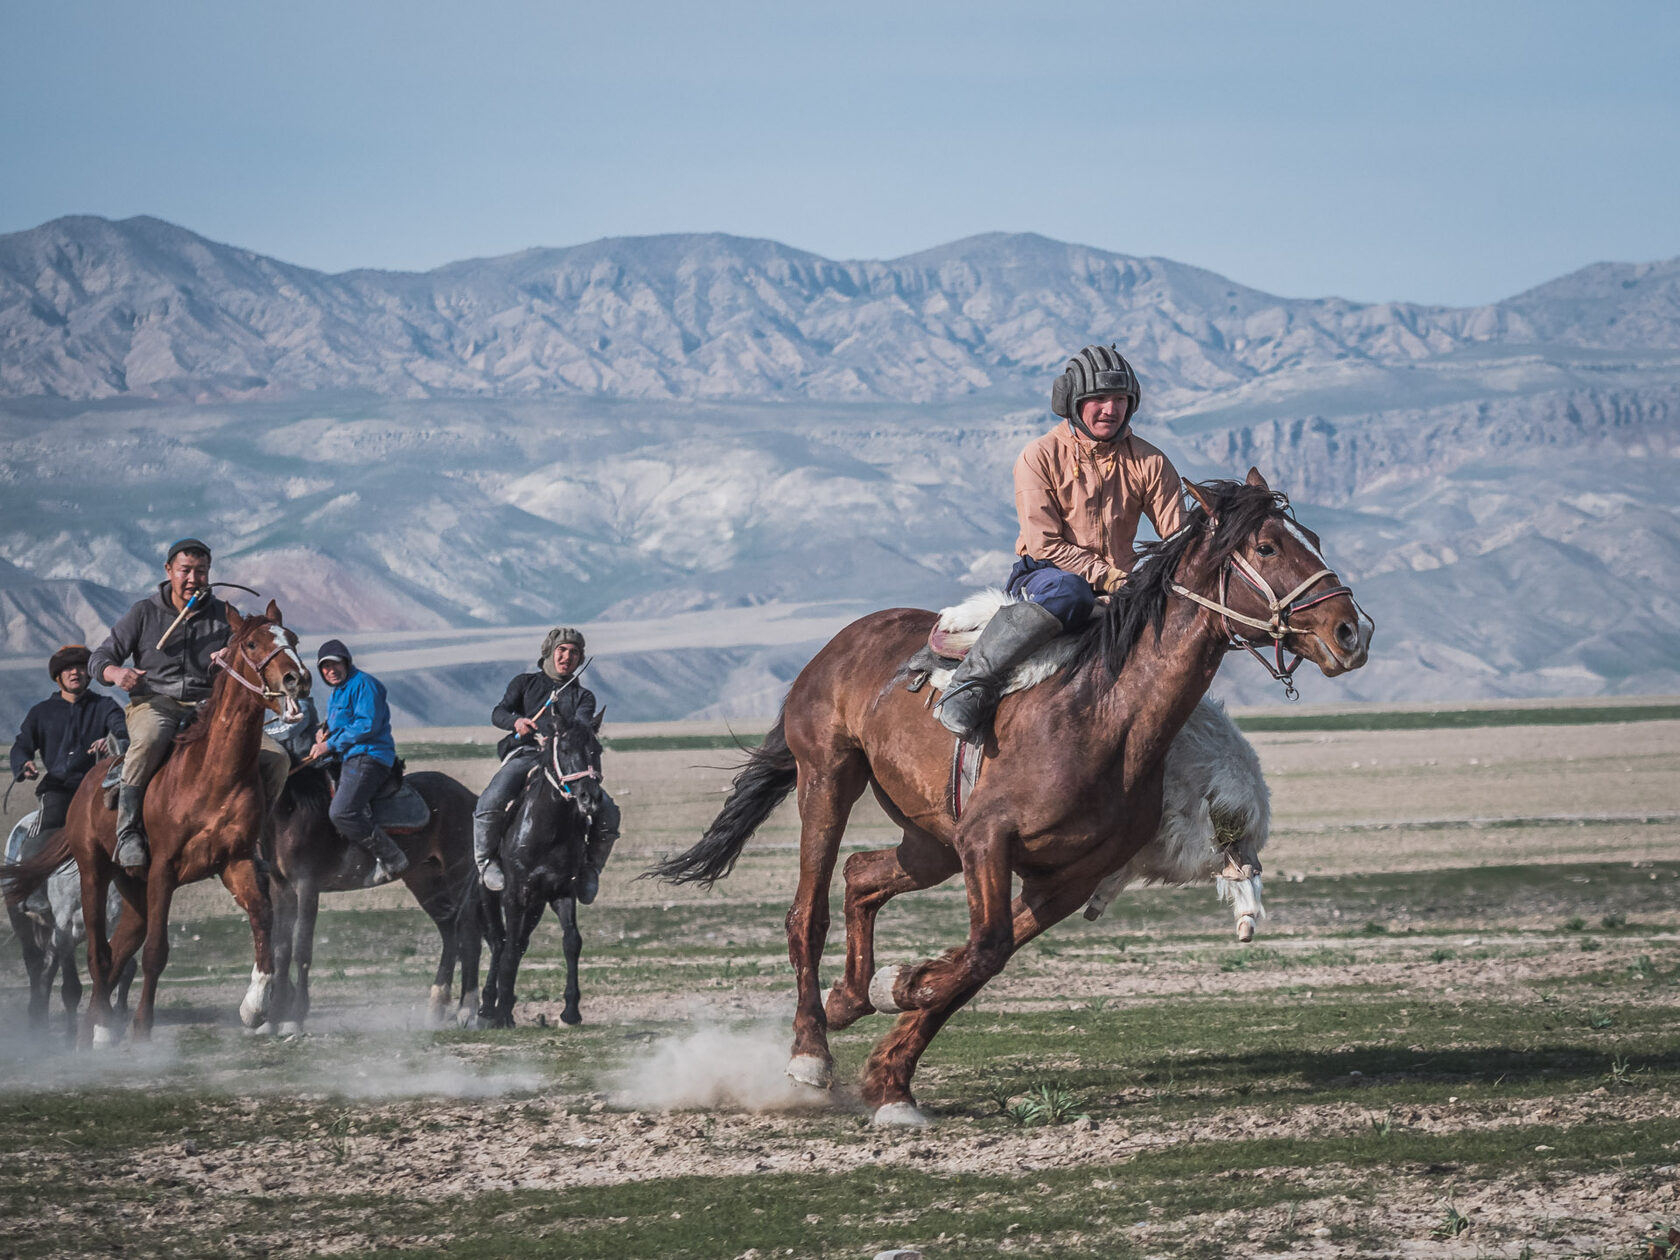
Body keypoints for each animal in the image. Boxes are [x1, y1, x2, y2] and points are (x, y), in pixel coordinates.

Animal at [2, 601, 309, 1048]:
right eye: (252, 643)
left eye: (294, 638)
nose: (297, 679)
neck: (211, 773)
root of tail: (87, 785)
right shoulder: (164, 868)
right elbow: (155, 953)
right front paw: (143, 1028)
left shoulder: (235, 863)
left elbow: (263, 920)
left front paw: (255, 1007)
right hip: (95, 873)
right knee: (98, 953)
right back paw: (100, 1030)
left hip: (133, 889)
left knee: (117, 950)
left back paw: (94, 1028)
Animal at [265, 769, 483, 1034]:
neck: (290, 811)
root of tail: (469, 797)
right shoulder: (280, 887)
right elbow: (280, 950)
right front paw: (273, 1017)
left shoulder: (307, 886)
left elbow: (301, 949)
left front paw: (295, 1017)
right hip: (424, 878)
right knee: (450, 931)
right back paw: (436, 1007)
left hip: (458, 872)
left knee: (468, 932)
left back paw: (467, 1009)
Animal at [477, 715, 601, 1028]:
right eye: (565, 749)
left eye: (598, 750)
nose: (590, 798)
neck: (548, 830)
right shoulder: (514, 894)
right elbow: (508, 947)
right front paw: (502, 1014)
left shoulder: (562, 891)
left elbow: (572, 941)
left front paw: (570, 1012)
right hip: (490, 893)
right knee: (499, 942)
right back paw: (487, 1007)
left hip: (536, 904)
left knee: (520, 942)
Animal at [648, 470, 1370, 1122]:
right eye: (1269, 547)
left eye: (1308, 539)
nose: (1350, 632)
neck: (1104, 714)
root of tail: (841, 642)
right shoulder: (987, 842)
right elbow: (982, 950)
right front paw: (903, 990)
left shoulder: (1064, 879)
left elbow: (978, 966)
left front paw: (891, 1069)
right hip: (829, 777)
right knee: (808, 912)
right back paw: (810, 1053)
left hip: (930, 840)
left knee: (861, 876)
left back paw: (851, 997)